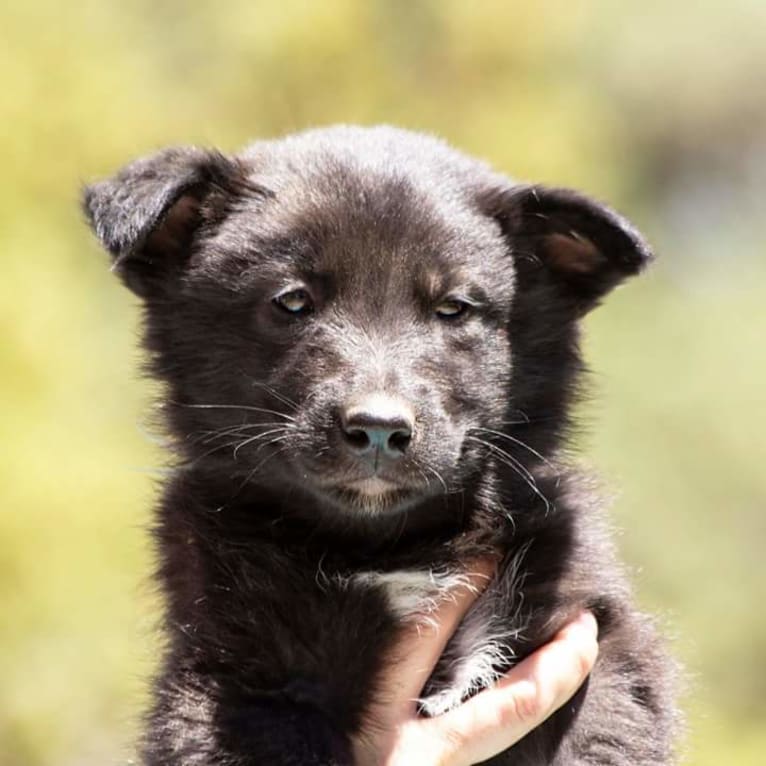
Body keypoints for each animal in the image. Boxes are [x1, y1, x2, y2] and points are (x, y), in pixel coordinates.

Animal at [84, 127, 680, 766]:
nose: (377, 428)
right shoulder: (239, 681)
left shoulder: (590, 636)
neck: (384, 549)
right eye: (292, 301)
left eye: (453, 308)